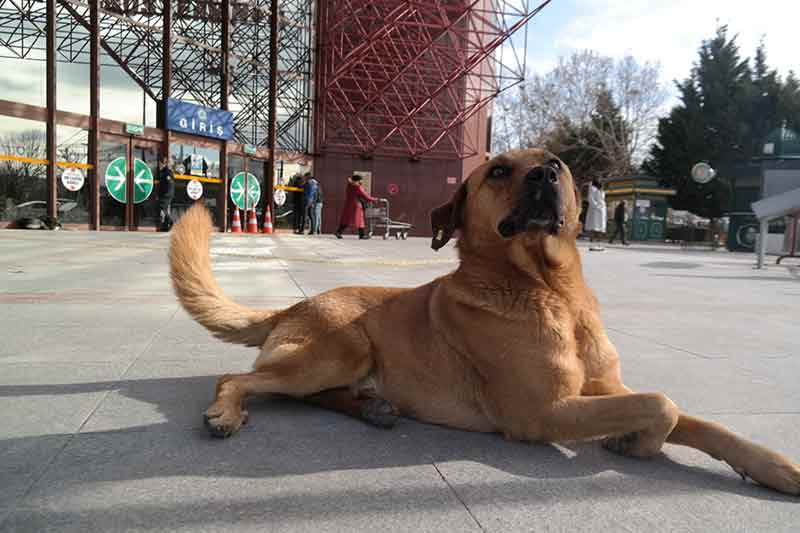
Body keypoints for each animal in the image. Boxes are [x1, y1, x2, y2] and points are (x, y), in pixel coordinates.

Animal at [170, 147, 800, 494]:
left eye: (557, 164)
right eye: (498, 170)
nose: (545, 176)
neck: (550, 291)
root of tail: (291, 306)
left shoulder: (603, 389)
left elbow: (698, 420)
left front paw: (775, 467)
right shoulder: (543, 412)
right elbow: (661, 404)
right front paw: (635, 441)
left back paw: (373, 407)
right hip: (342, 347)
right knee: (239, 378)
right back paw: (227, 412)